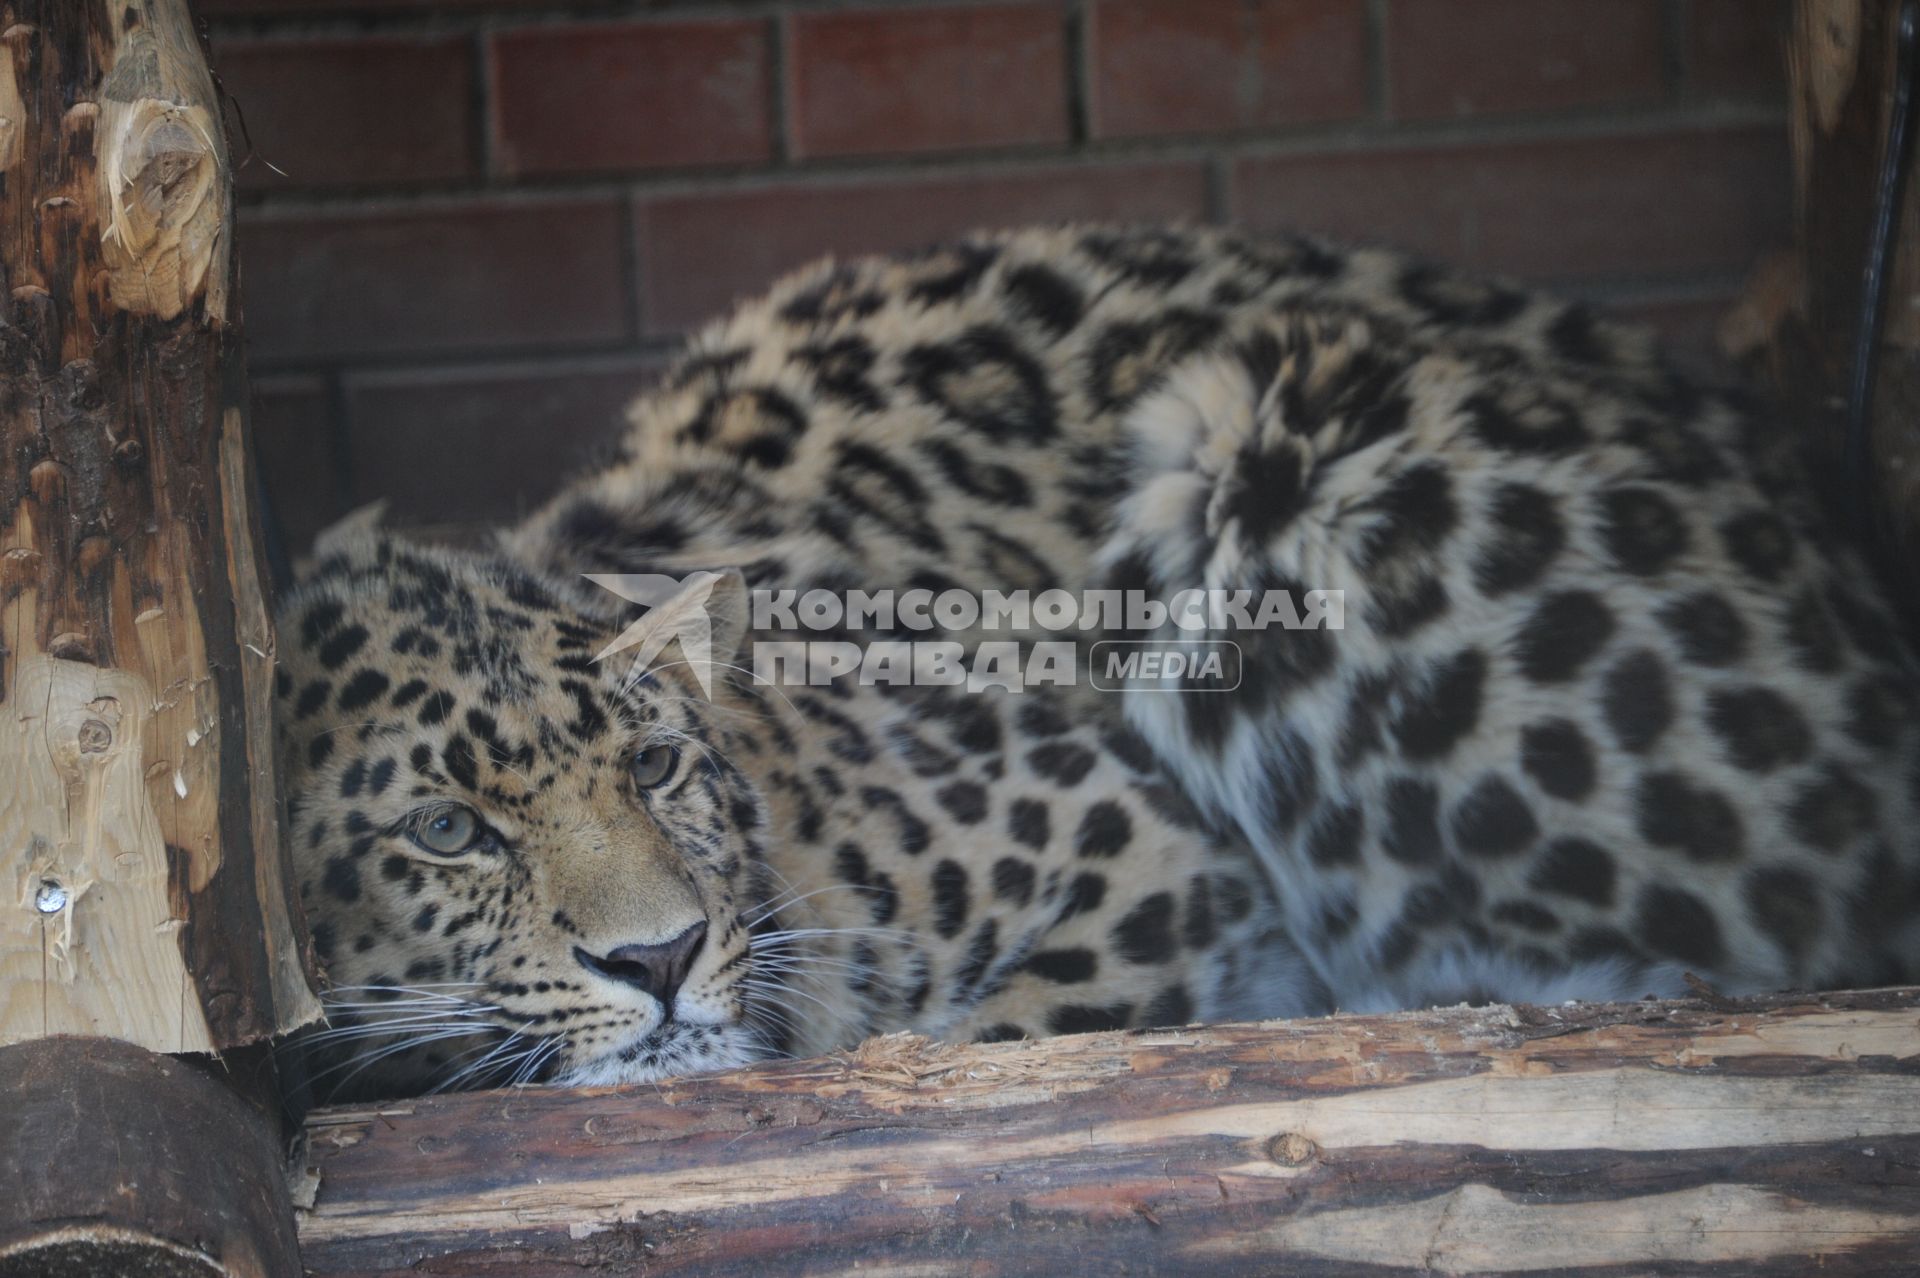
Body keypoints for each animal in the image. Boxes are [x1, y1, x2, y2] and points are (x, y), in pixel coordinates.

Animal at [280, 221, 1920, 1097]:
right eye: (445, 832)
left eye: (657, 762)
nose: (661, 959)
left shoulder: (1136, 848)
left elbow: (990, 1047)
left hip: (1276, 441)